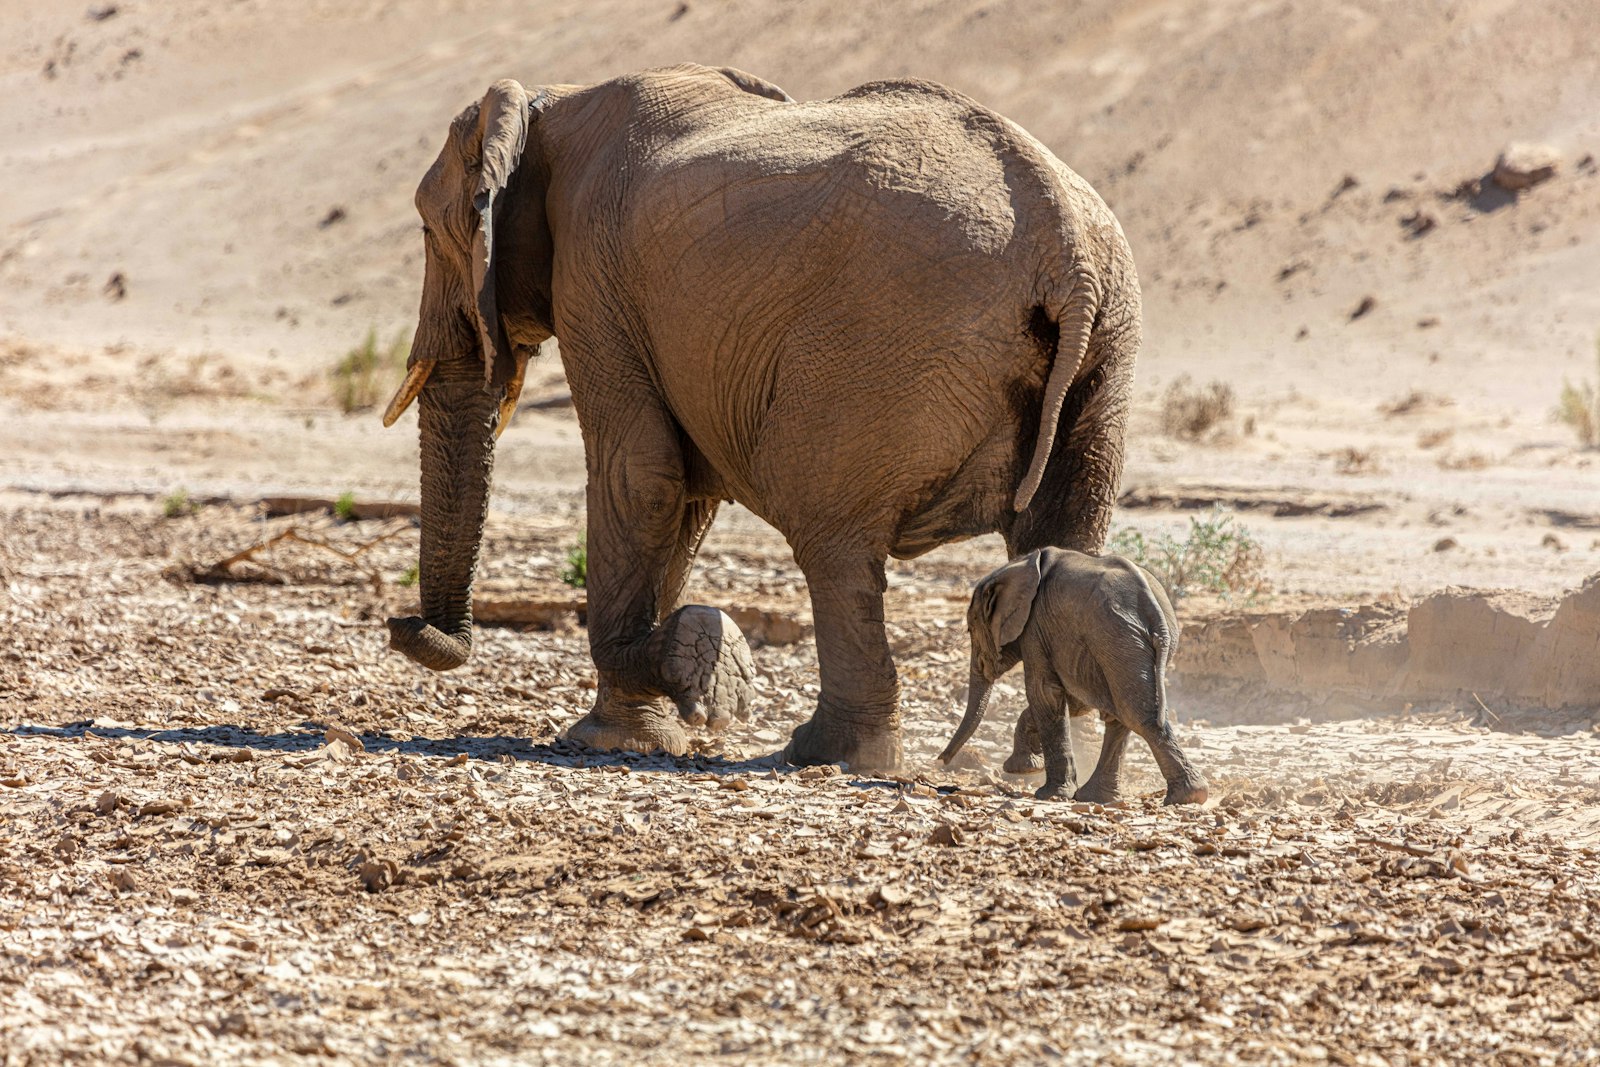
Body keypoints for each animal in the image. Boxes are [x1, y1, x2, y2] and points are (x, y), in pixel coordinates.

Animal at [381, 63, 1143, 773]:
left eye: (427, 229)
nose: (403, 624)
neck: (552, 102)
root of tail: (1066, 248)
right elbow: (684, 498)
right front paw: (642, 725)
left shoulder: (594, 279)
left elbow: (640, 475)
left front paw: (682, 680)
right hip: (1108, 353)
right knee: (1062, 534)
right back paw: (1039, 763)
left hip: (886, 350)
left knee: (830, 537)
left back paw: (826, 751)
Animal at [939, 548, 1209, 805]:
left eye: (970, 629)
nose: (942, 759)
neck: (1018, 565)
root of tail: (1155, 612)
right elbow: (1074, 701)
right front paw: (1025, 769)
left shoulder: (1035, 626)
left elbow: (1045, 693)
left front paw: (1047, 791)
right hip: (1129, 641)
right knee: (1122, 710)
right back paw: (1101, 797)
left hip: (1115, 636)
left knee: (1135, 713)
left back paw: (1186, 796)